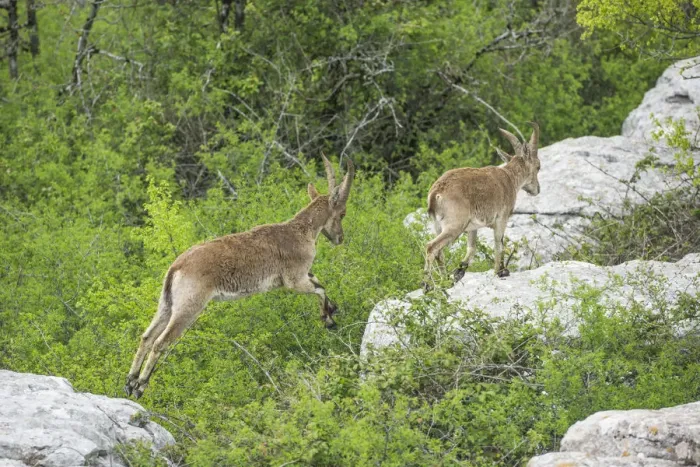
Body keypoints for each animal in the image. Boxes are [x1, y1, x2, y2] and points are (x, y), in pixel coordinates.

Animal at [125, 156, 354, 398]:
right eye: (342, 213)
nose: (339, 238)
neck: (302, 231)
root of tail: (176, 267)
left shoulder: (302, 275)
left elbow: (318, 281)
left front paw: (332, 309)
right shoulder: (294, 279)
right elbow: (320, 288)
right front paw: (328, 319)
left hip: (167, 303)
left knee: (147, 336)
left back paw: (130, 382)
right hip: (189, 306)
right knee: (160, 342)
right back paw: (140, 386)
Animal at [423, 122, 540, 288]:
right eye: (538, 166)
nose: (537, 189)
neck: (509, 178)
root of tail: (436, 193)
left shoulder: (472, 227)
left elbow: (472, 247)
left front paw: (459, 272)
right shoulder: (501, 218)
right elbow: (499, 243)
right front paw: (499, 271)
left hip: (437, 224)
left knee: (439, 251)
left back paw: (446, 280)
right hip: (454, 225)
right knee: (431, 247)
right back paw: (427, 285)